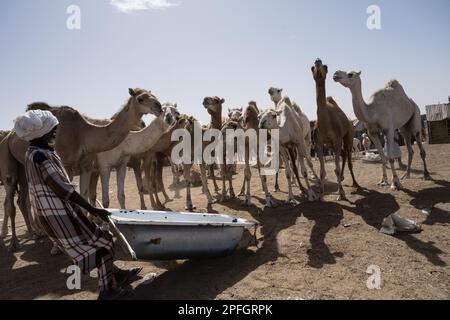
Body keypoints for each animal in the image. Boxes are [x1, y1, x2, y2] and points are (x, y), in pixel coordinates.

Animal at [312, 58, 360, 200]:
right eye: (312, 68)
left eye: (326, 67)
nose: (318, 60)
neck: (325, 125)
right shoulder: (319, 144)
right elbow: (322, 171)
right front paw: (321, 193)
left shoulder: (337, 140)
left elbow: (337, 169)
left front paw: (341, 193)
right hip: (332, 145)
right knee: (343, 155)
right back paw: (343, 178)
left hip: (348, 137)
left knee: (348, 158)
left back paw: (355, 183)